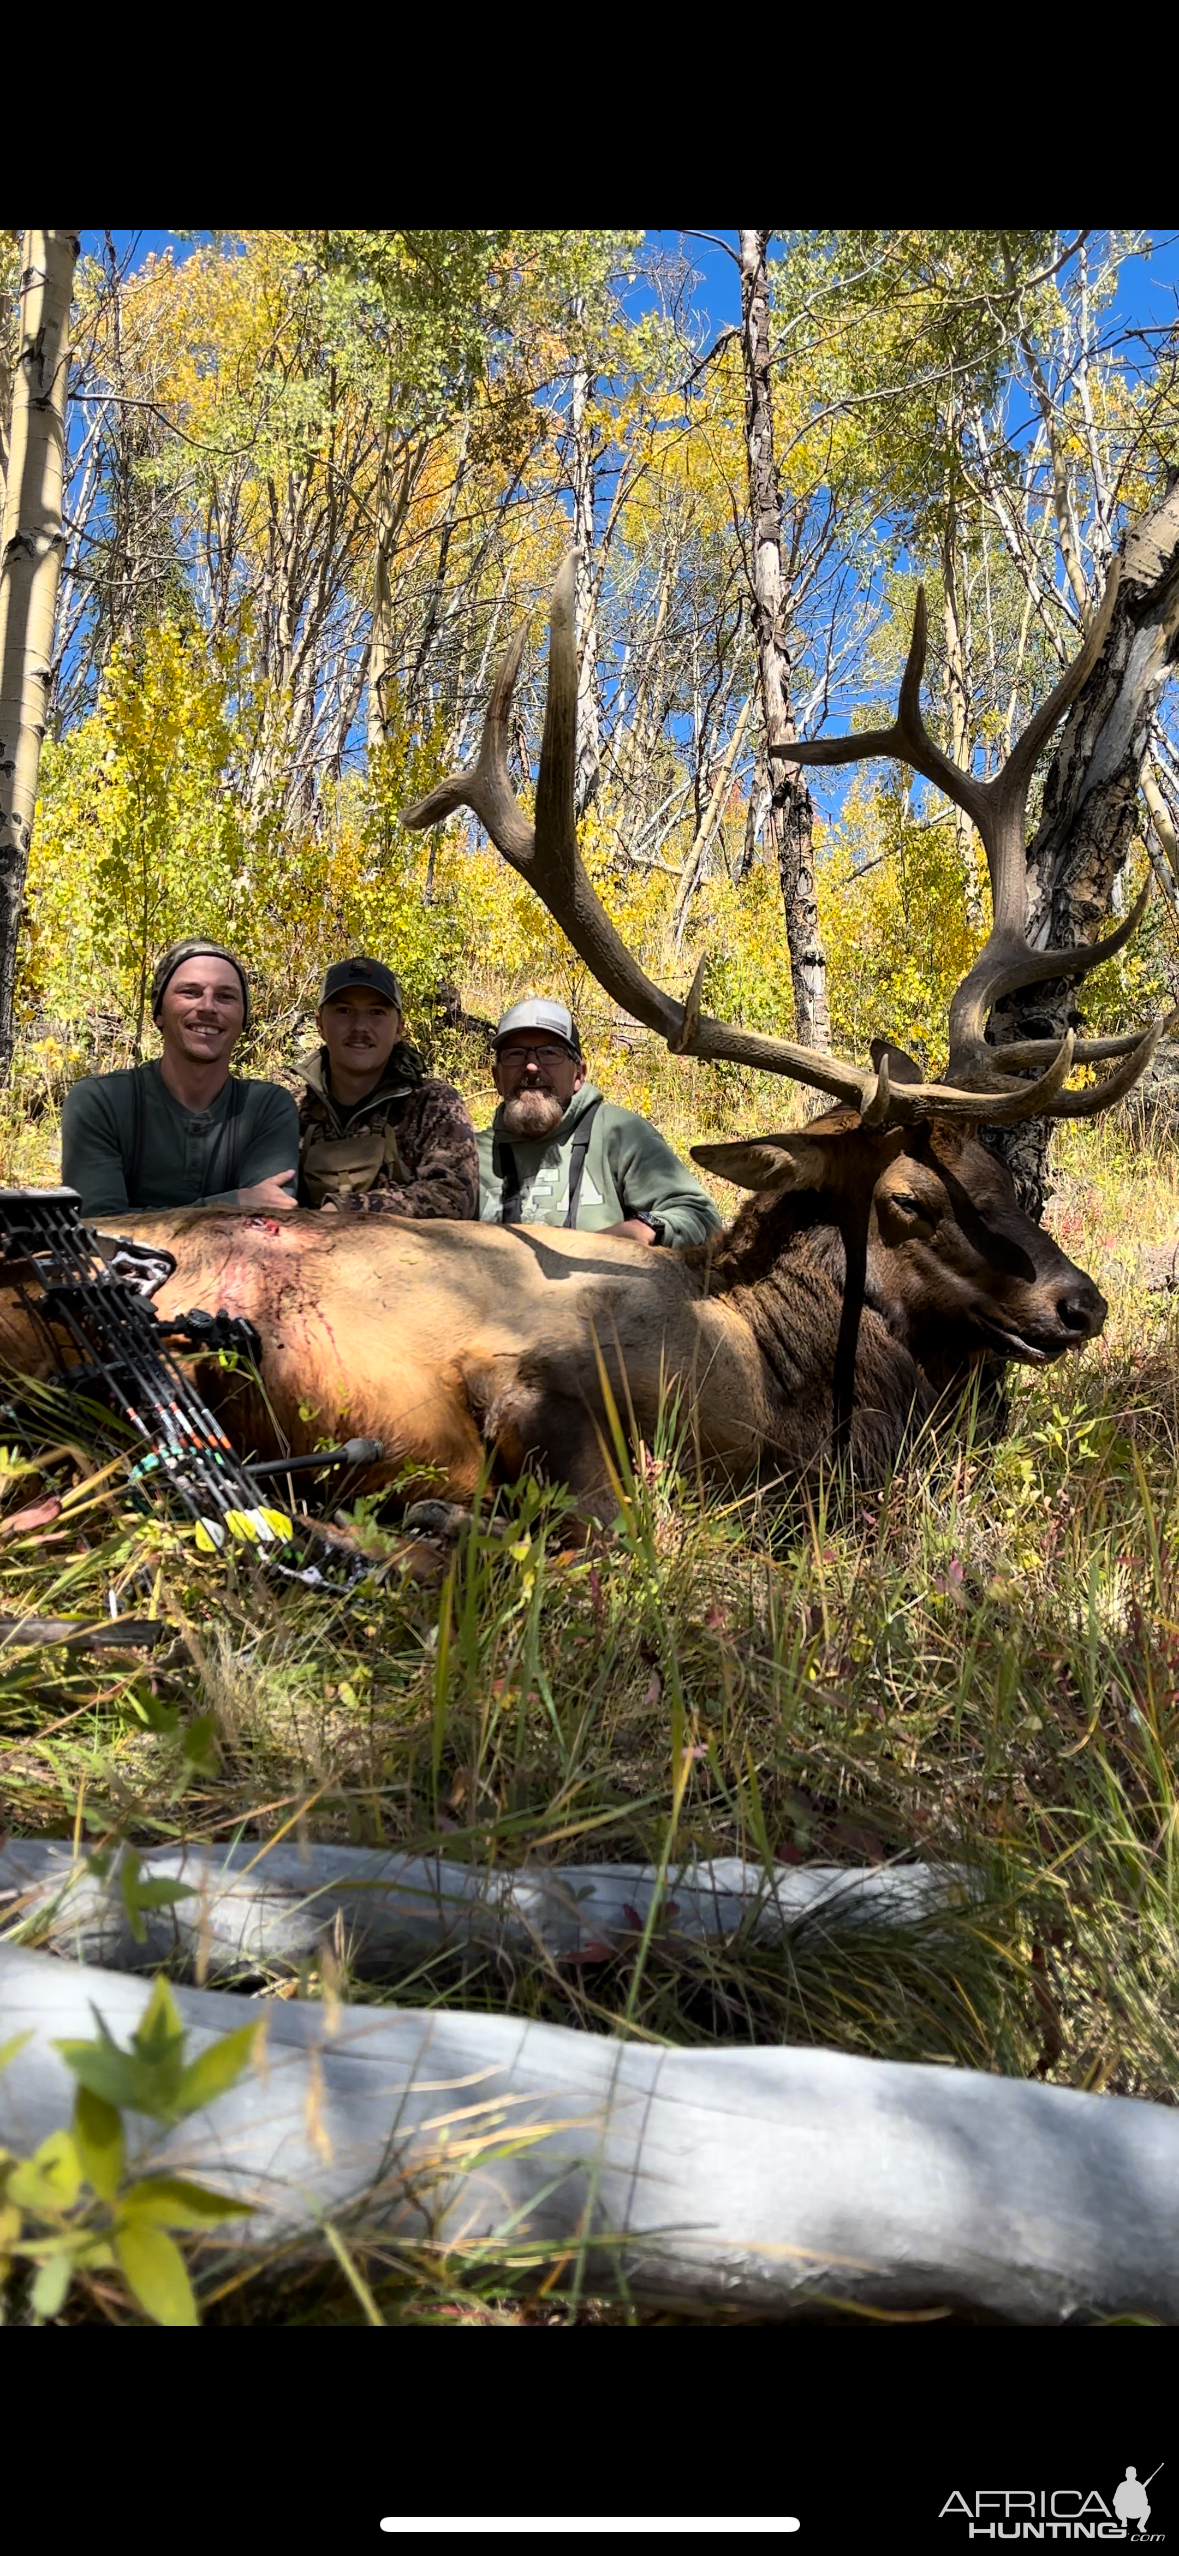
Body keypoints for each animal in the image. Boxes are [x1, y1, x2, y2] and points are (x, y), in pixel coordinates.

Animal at [0, 564, 1155, 1513]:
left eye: (1003, 1176)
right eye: (910, 1201)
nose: (1079, 1303)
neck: (774, 1366)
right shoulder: (533, 1372)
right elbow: (599, 1519)